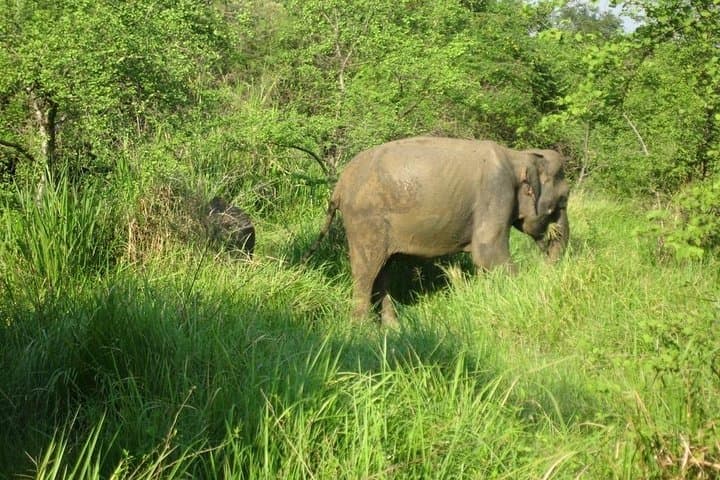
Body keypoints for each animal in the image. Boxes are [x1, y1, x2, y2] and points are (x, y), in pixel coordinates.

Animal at [304, 136, 570, 327]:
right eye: (562, 201)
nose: (547, 248)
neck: (518, 156)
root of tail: (339, 186)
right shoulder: (496, 191)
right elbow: (487, 252)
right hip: (366, 220)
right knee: (366, 272)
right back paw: (363, 331)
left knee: (382, 271)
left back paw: (393, 329)